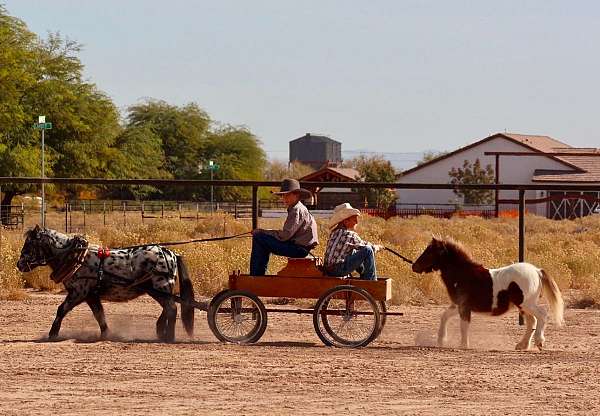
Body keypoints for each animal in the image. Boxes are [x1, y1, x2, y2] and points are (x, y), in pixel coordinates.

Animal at [17, 226, 195, 342]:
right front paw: (105, 335)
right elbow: (99, 315)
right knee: (168, 308)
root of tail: (170, 253)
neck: (78, 259)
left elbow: (61, 310)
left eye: (29, 244)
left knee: (171, 308)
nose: (19, 264)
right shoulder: (91, 296)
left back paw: (169, 337)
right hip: (156, 290)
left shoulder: (78, 293)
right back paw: (161, 331)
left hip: (161, 286)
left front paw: (52, 334)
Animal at [412, 237, 564, 352]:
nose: (414, 266)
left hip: (527, 303)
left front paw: (463, 345)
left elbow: (463, 325)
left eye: (429, 252)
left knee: (542, 315)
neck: (462, 274)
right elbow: (444, 317)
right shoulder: (458, 305)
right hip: (523, 306)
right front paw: (441, 340)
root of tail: (537, 271)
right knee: (532, 321)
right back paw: (522, 345)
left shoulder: (464, 306)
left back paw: (539, 342)